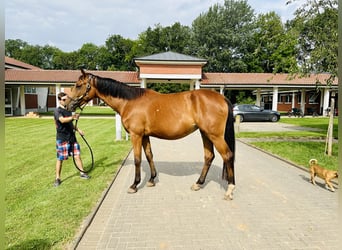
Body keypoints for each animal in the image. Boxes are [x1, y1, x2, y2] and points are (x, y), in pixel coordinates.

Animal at [66, 69, 236, 200]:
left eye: (78, 85)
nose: (67, 104)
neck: (129, 102)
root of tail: (222, 97)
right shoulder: (145, 136)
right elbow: (149, 155)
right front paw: (152, 179)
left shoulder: (136, 135)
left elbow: (137, 159)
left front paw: (134, 185)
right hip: (205, 133)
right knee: (209, 156)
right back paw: (198, 183)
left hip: (215, 135)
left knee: (227, 155)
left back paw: (230, 189)